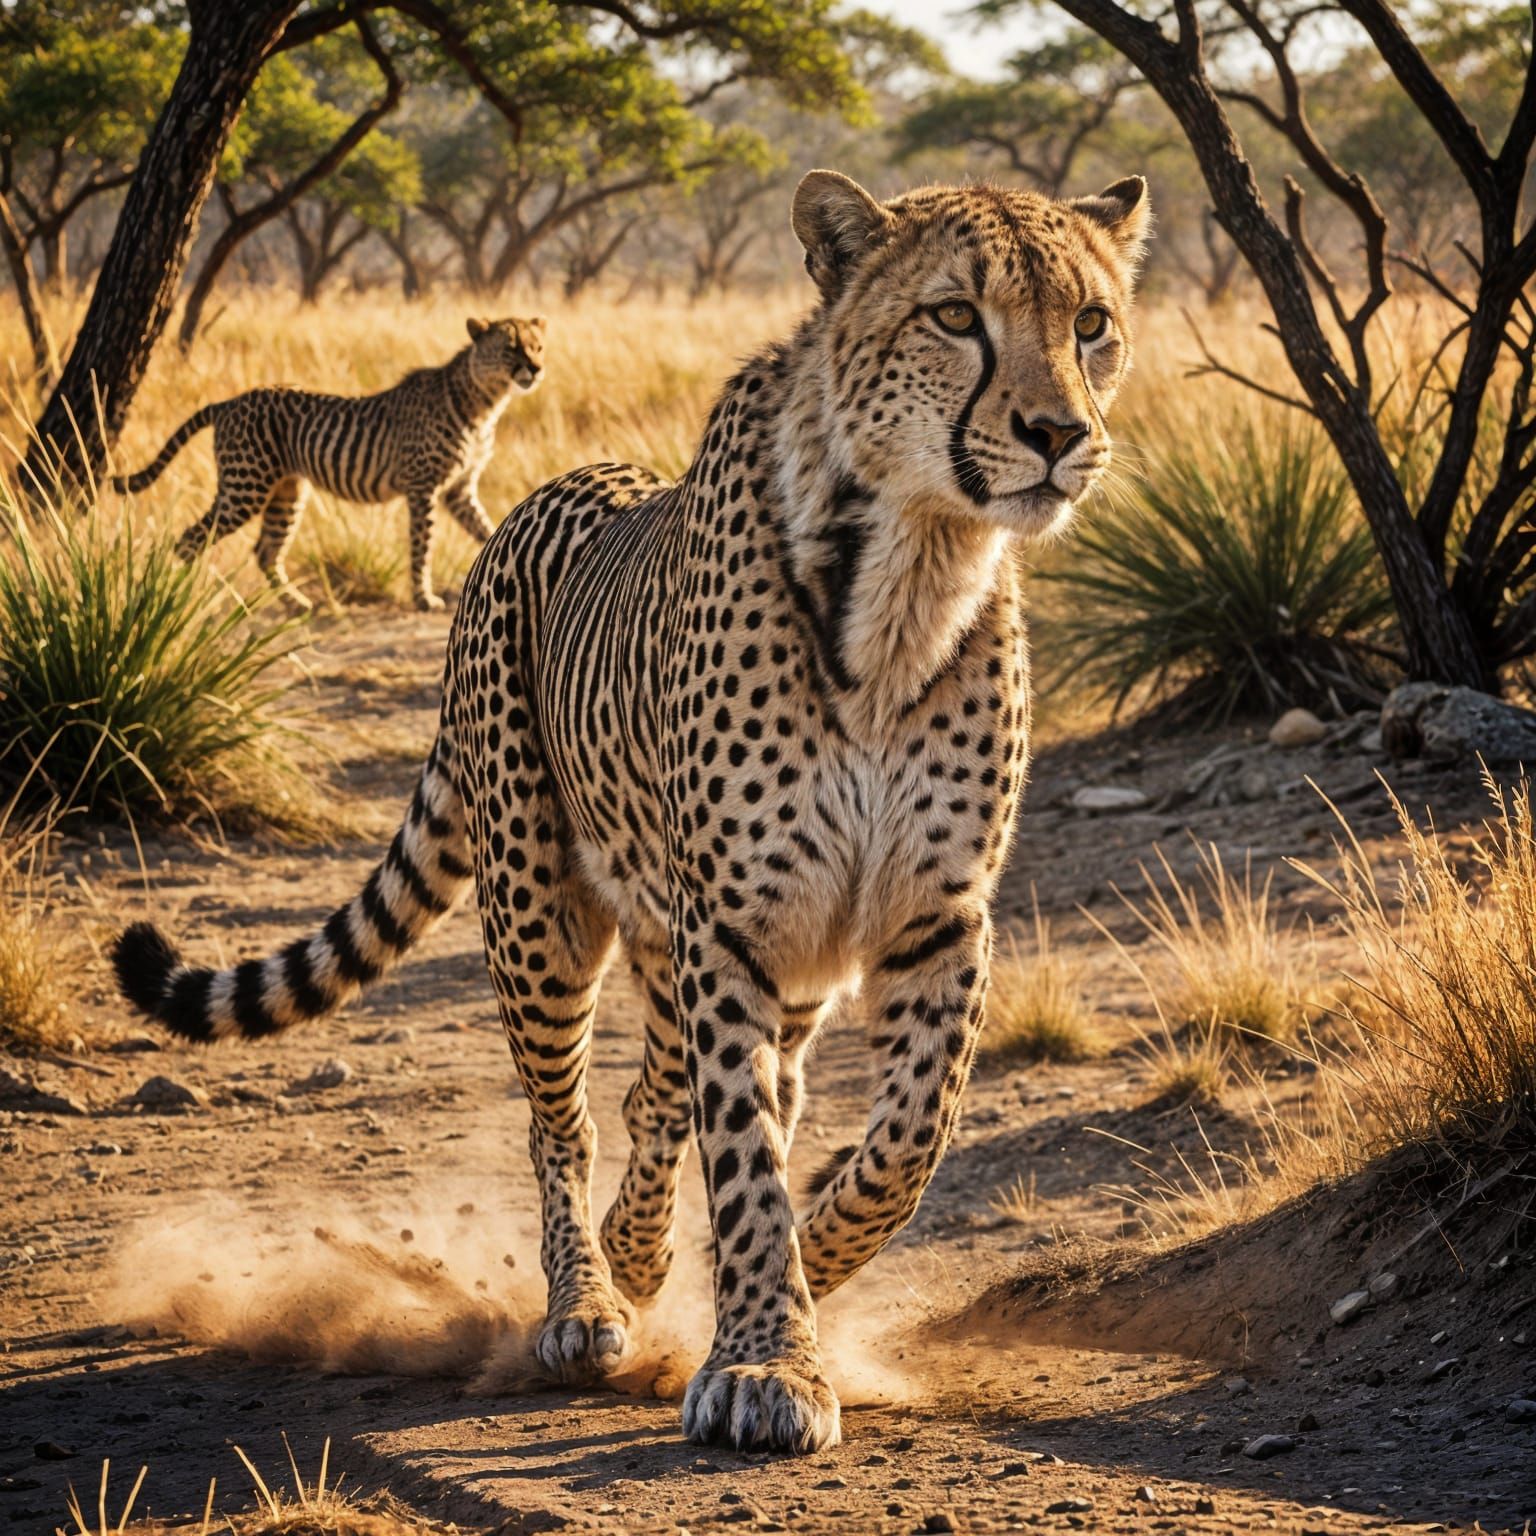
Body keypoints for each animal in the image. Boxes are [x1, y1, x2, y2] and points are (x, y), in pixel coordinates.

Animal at [110, 316, 546, 610]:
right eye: (511, 347)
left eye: (537, 346)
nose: (537, 368)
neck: (484, 401)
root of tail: (230, 400)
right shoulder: (424, 488)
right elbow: (423, 544)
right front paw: (424, 598)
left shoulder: (459, 489)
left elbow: (484, 528)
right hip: (245, 490)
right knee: (190, 538)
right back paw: (182, 597)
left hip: (286, 492)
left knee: (265, 551)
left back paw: (296, 603)